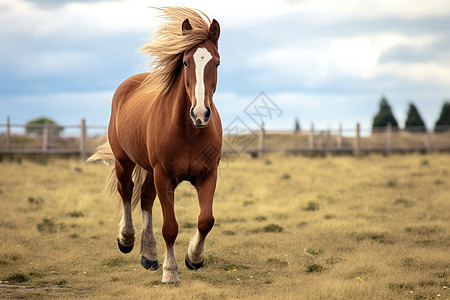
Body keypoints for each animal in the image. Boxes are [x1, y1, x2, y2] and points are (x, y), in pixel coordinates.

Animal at [88, 7, 221, 284]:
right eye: (186, 62)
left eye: (216, 62)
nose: (200, 114)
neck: (190, 133)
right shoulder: (164, 176)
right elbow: (170, 227)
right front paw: (170, 272)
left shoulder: (208, 174)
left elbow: (206, 220)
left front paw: (194, 258)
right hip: (124, 161)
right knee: (127, 191)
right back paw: (127, 239)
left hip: (149, 169)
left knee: (146, 198)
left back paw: (148, 255)